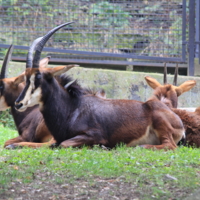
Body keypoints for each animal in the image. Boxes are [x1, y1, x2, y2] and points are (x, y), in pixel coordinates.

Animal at [14, 22, 184, 150]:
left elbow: (64, 144)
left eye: (38, 78)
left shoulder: (95, 135)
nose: (18, 103)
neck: (72, 108)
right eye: (25, 78)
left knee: (170, 146)